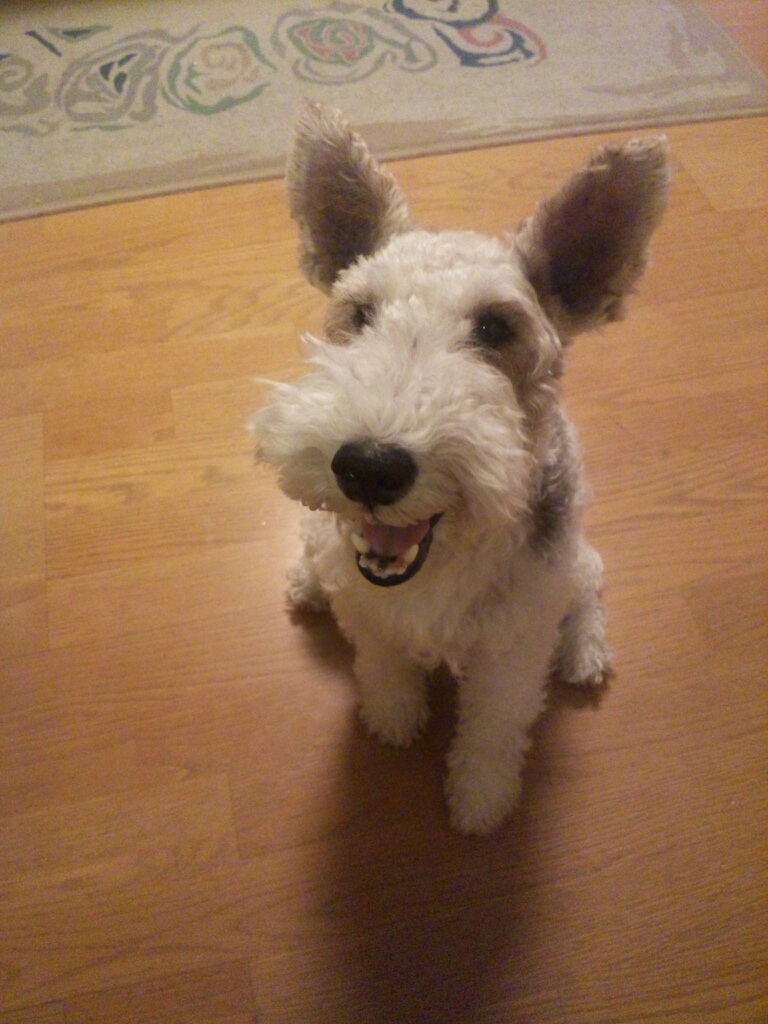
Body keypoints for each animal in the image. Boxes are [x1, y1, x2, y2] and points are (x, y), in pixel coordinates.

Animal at [251, 103, 669, 835]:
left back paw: (585, 654)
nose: (369, 467)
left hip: (573, 563)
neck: (440, 560)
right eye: (359, 313)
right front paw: (394, 719)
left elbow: (494, 727)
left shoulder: (513, 647)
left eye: (497, 329)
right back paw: (305, 581)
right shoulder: (371, 615)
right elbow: (385, 668)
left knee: (590, 587)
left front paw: (480, 801)